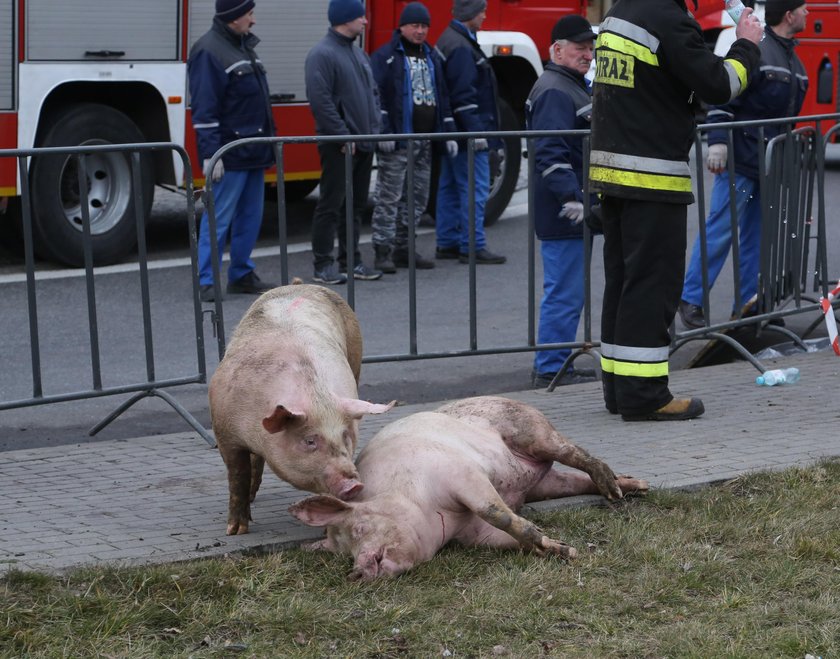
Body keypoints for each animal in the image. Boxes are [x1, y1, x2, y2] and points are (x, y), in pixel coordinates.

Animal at [210, 284, 394, 536]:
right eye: (309, 441)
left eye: (346, 436)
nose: (354, 484)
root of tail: (299, 284)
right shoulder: (224, 432)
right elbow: (237, 476)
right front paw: (235, 531)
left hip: (356, 356)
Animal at [288, 394, 648, 580]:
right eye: (344, 553)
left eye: (359, 528)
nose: (356, 573)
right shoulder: (472, 534)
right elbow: (504, 538)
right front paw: (563, 549)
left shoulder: (459, 474)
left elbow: (495, 513)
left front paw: (561, 550)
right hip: (543, 484)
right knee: (574, 479)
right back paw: (636, 486)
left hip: (532, 430)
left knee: (575, 453)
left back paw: (616, 489)